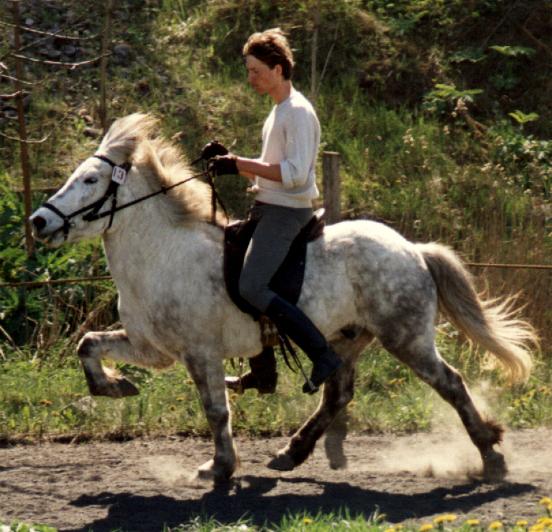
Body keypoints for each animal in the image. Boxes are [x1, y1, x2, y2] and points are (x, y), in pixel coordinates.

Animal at [31, 113, 540, 482]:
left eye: (90, 181)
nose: (39, 221)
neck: (162, 252)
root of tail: (413, 249)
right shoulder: (152, 348)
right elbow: (88, 346)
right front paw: (116, 387)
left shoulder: (200, 351)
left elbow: (216, 411)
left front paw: (219, 467)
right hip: (345, 337)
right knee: (338, 392)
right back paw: (291, 452)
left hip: (406, 337)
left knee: (449, 383)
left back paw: (491, 458)